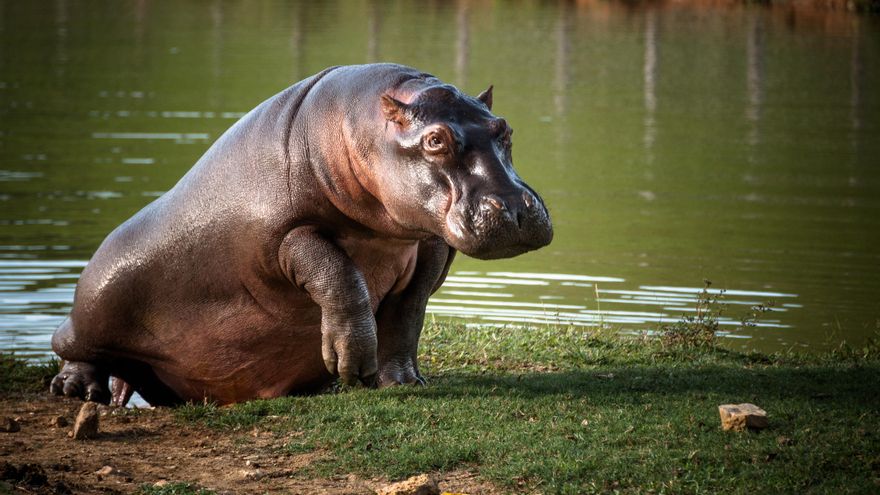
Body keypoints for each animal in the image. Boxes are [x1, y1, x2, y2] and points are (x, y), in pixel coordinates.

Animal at [49, 63, 553, 406]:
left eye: (505, 128)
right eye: (435, 140)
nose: (514, 209)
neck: (362, 127)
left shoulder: (431, 243)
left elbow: (407, 313)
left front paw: (403, 381)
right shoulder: (283, 238)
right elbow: (340, 277)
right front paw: (351, 366)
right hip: (97, 299)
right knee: (72, 344)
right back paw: (77, 390)